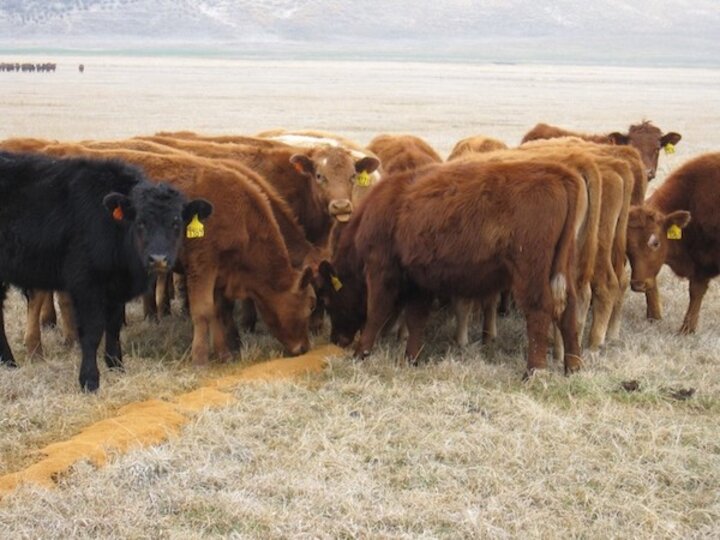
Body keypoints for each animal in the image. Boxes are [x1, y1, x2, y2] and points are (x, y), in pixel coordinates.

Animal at [0, 152, 214, 392]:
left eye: (176, 222)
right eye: (140, 222)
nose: (158, 259)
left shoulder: (116, 288)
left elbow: (113, 327)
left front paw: (116, 366)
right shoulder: (86, 285)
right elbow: (92, 331)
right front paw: (89, 380)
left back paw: (8, 362)